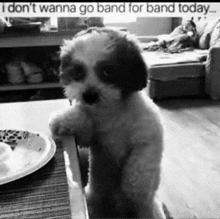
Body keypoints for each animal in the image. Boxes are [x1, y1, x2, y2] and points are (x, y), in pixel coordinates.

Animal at [49, 26, 166, 218]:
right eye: (78, 71)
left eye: (108, 72)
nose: (89, 95)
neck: (111, 112)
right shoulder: (87, 138)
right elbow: (81, 119)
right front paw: (63, 119)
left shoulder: (149, 139)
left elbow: (139, 167)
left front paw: (133, 186)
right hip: (95, 198)